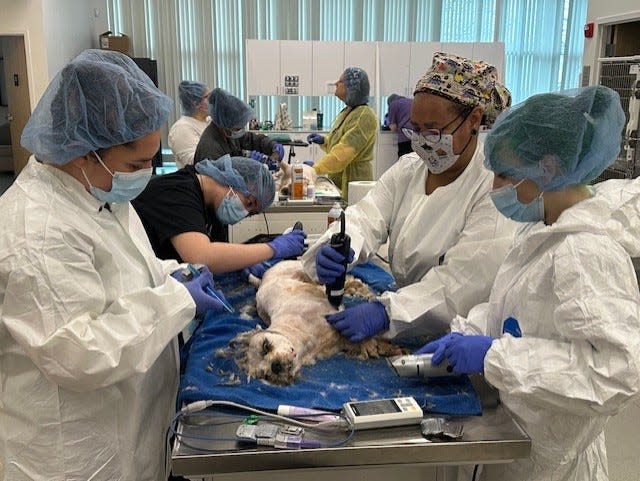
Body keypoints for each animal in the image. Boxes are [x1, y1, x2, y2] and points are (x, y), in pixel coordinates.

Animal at [226, 258, 404, 386]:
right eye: (264, 374)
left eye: (266, 346)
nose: (275, 366)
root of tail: (263, 279)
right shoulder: (340, 341)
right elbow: (363, 341)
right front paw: (382, 348)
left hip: (307, 271)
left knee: (343, 280)